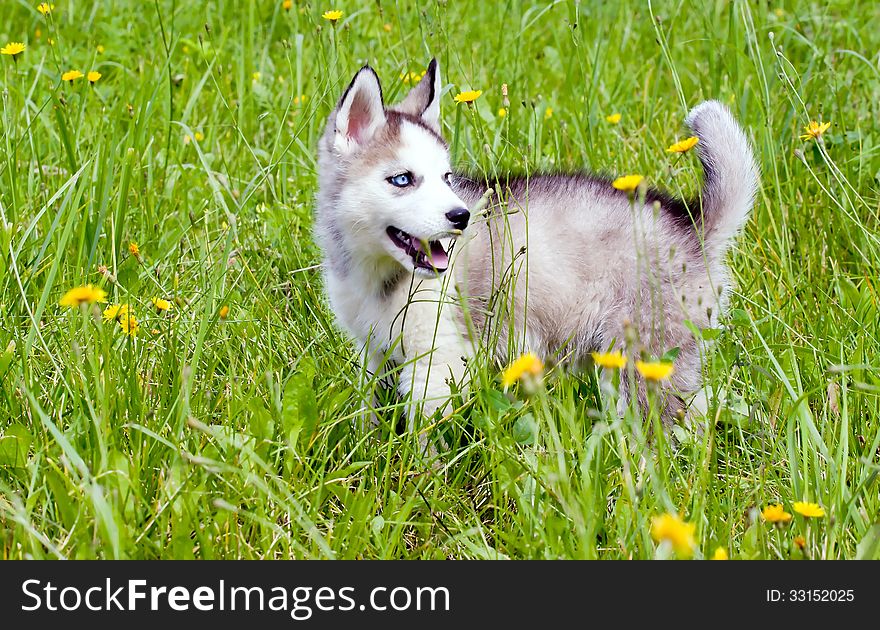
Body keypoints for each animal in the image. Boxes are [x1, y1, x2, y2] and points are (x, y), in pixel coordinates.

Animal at [314, 58, 756, 434]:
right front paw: (367, 449)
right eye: (402, 179)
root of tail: (691, 224)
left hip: (643, 360)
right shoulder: (375, 352)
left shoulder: (437, 360)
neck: (379, 275)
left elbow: (425, 431)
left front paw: (419, 474)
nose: (461, 216)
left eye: (446, 177)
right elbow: (368, 410)